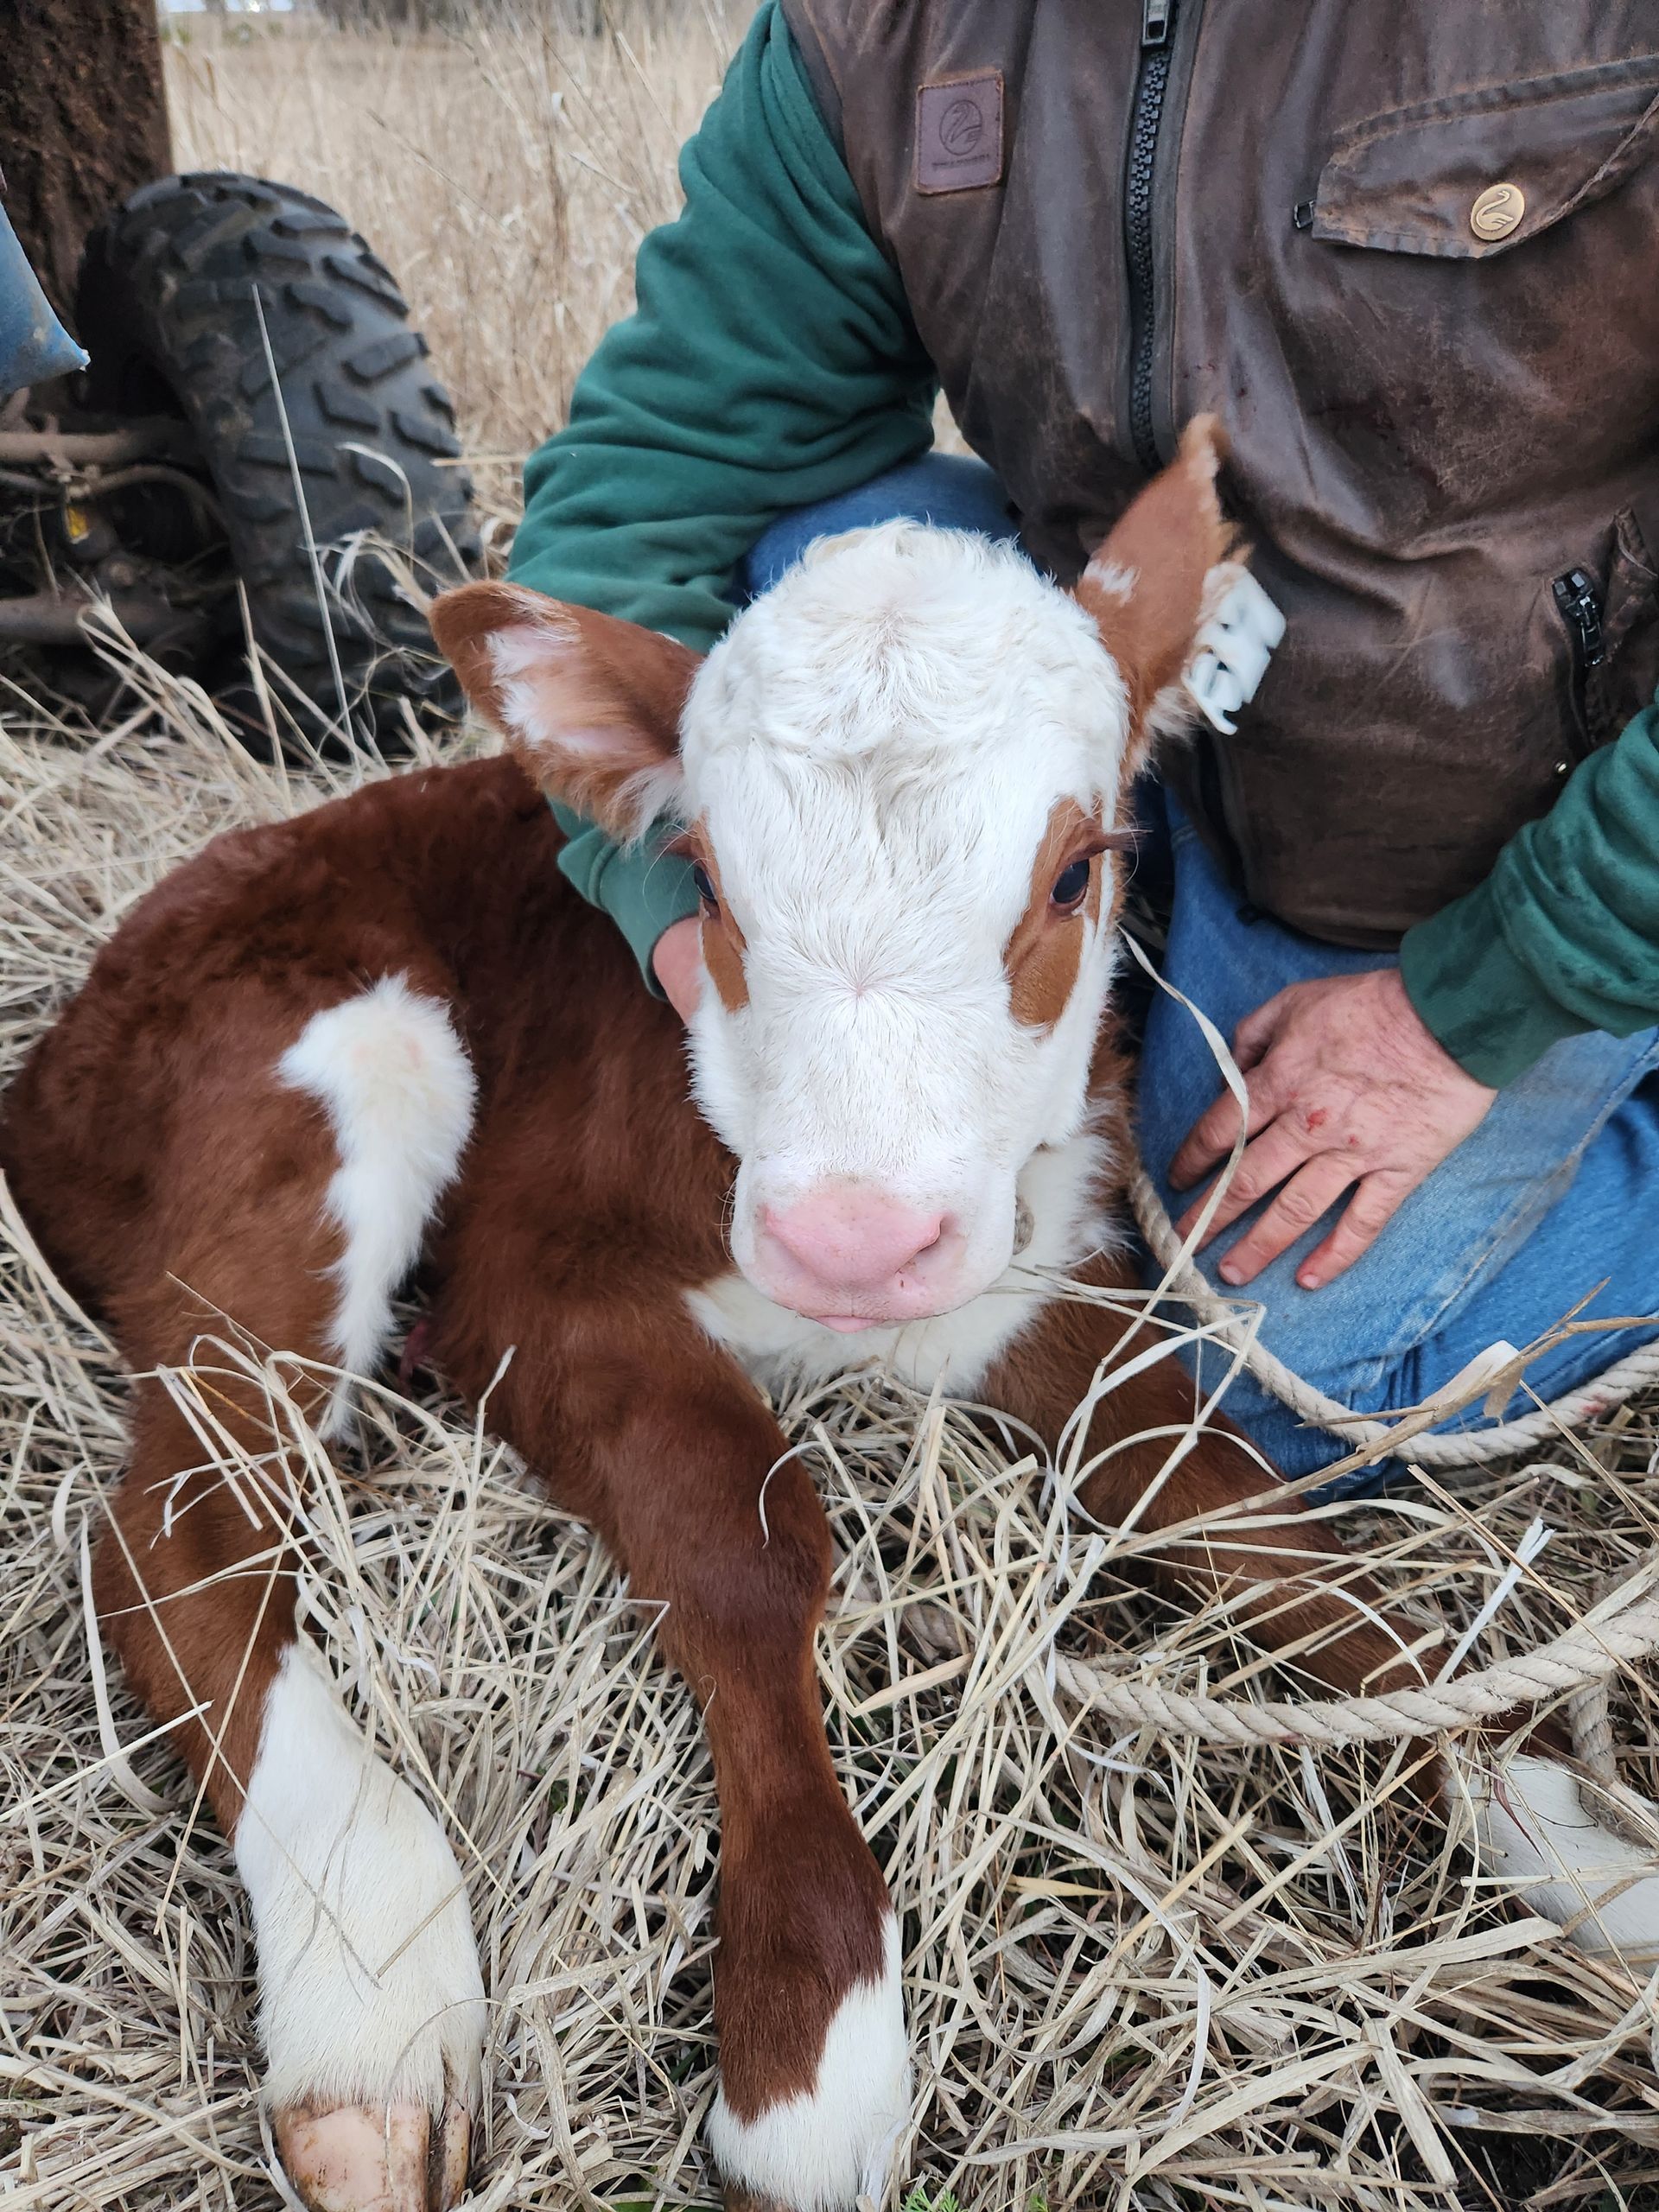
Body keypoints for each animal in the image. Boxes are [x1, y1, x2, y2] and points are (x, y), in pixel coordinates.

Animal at [5, 421, 1656, 2212]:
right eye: (709, 883)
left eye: (1077, 873)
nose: (852, 1239)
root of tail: (64, 1031)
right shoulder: (534, 1279)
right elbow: (751, 1546)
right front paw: (815, 2040)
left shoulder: (1027, 1266)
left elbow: (1252, 1522)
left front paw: (1564, 1825)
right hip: (346, 1060)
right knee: (173, 1527)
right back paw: (372, 2013)